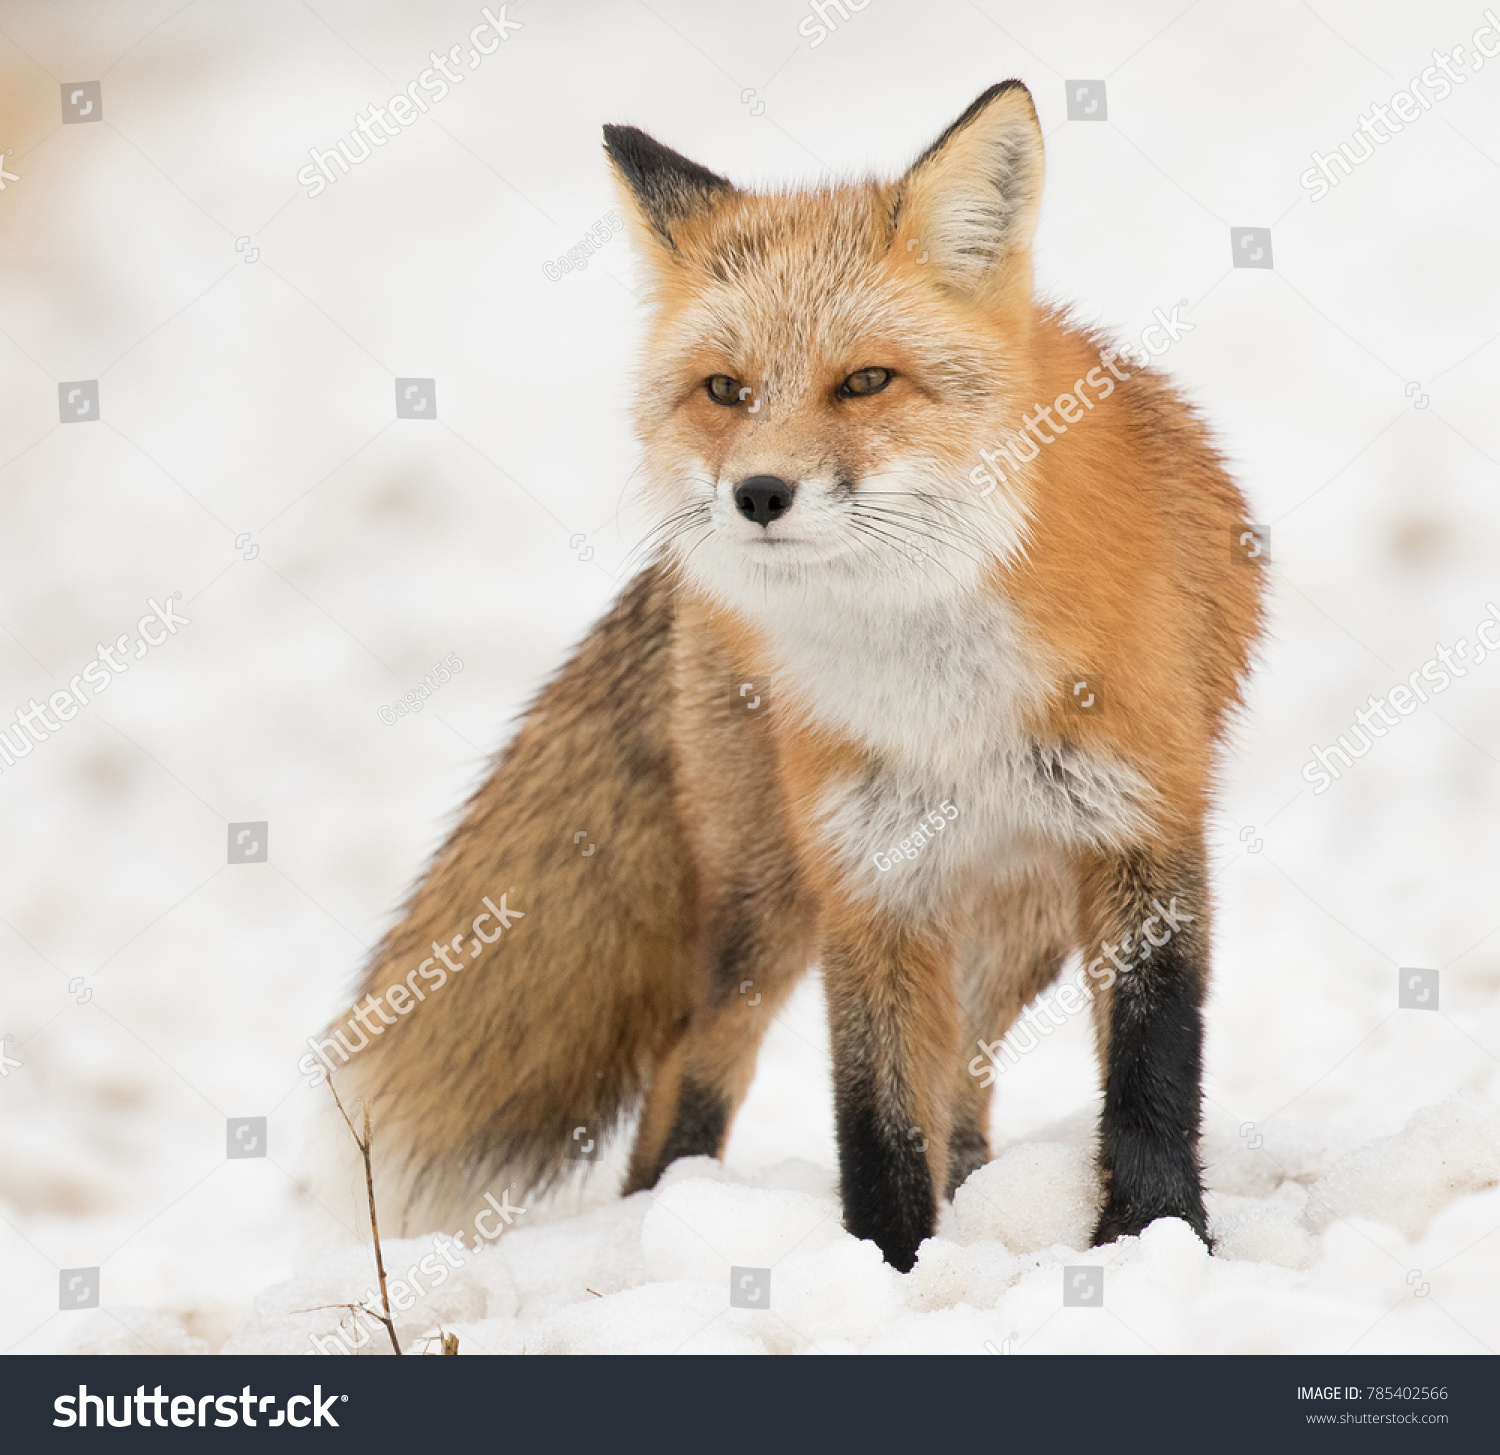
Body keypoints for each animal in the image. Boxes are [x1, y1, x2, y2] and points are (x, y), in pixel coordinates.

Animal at [311, 80, 1264, 1272]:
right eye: (726, 389)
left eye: (865, 381)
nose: (758, 494)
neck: (940, 691)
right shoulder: (865, 876)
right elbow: (876, 1111)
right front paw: (889, 1267)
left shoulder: (1141, 835)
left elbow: (1151, 1072)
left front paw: (1152, 1238)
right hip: (765, 910)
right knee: (695, 1068)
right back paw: (664, 1220)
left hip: (1023, 918)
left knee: (966, 1075)